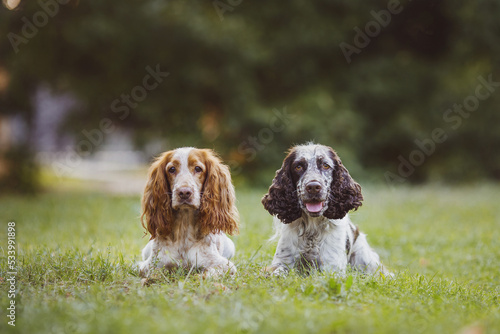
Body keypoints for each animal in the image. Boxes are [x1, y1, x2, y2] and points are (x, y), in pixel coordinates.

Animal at [262, 142, 390, 276]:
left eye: (325, 165)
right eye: (298, 167)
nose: (313, 187)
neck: (311, 230)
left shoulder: (332, 268)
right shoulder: (282, 262)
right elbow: (278, 272)